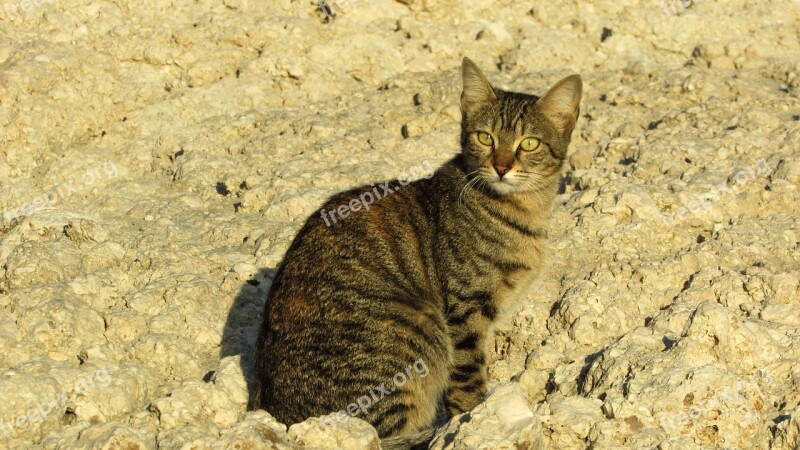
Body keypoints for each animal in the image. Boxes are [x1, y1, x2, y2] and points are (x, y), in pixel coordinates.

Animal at [253, 58, 584, 448]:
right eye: (485, 137)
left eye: (529, 143)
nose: (501, 166)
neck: (522, 210)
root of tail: (281, 417)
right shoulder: (465, 311)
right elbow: (467, 378)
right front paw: (475, 418)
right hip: (416, 334)